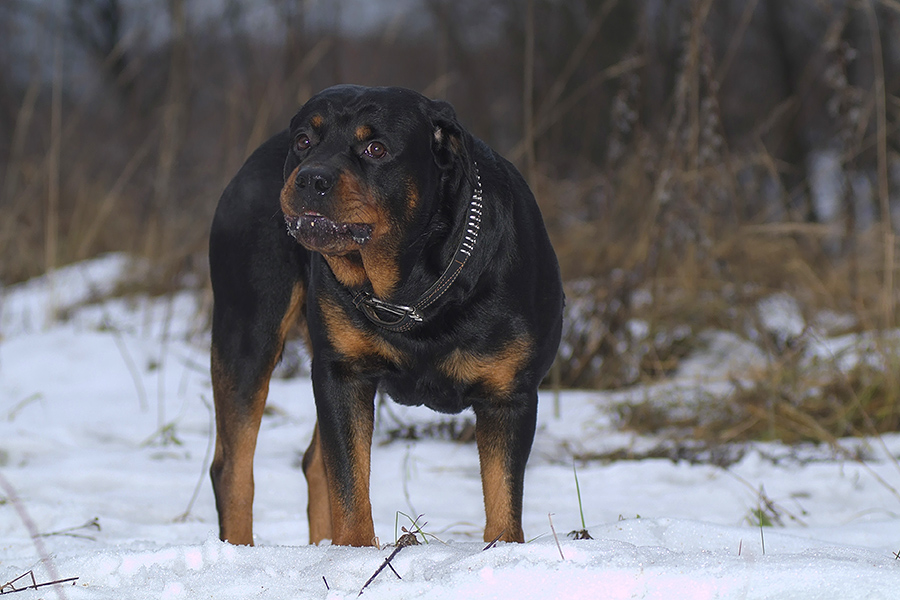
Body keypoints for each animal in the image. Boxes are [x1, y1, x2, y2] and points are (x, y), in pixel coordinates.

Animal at [210, 84, 564, 548]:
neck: (411, 288)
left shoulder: (509, 397)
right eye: (304, 141)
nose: (310, 177)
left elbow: (503, 504)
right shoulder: (343, 373)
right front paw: (355, 551)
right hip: (248, 332)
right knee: (234, 468)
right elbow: (350, 486)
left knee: (312, 463)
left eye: (375, 149)